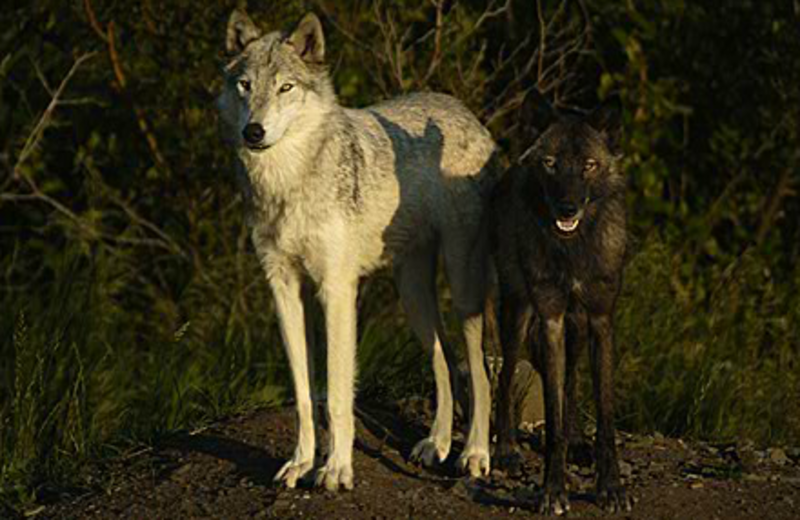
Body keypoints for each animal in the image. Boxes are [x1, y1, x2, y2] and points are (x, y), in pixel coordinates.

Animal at [216, 9, 496, 492]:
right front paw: (301, 463)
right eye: (245, 85)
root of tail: (463, 110)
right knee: (444, 360)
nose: (253, 131)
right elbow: (304, 392)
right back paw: (437, 444)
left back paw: (475, 454)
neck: (286, 181)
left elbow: (336, 393)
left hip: (463, 292)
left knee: (478, 370)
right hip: (413, 297)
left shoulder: (337, 290)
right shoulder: (284, 290)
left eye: (286, 87)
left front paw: (336, 469)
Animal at [494, 91, 632, 512]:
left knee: (570, 383)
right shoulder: (550, 317)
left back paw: (576, 443)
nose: (568, 208)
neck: (573, 250)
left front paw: (611, 487)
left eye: (588, 165)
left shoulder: (601, 320)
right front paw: (553, 490)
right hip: (517, 314)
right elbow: (552, 420)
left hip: (578, 329)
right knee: (505, 376)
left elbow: (604, 416)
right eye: (551, 164)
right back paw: (505, 448)